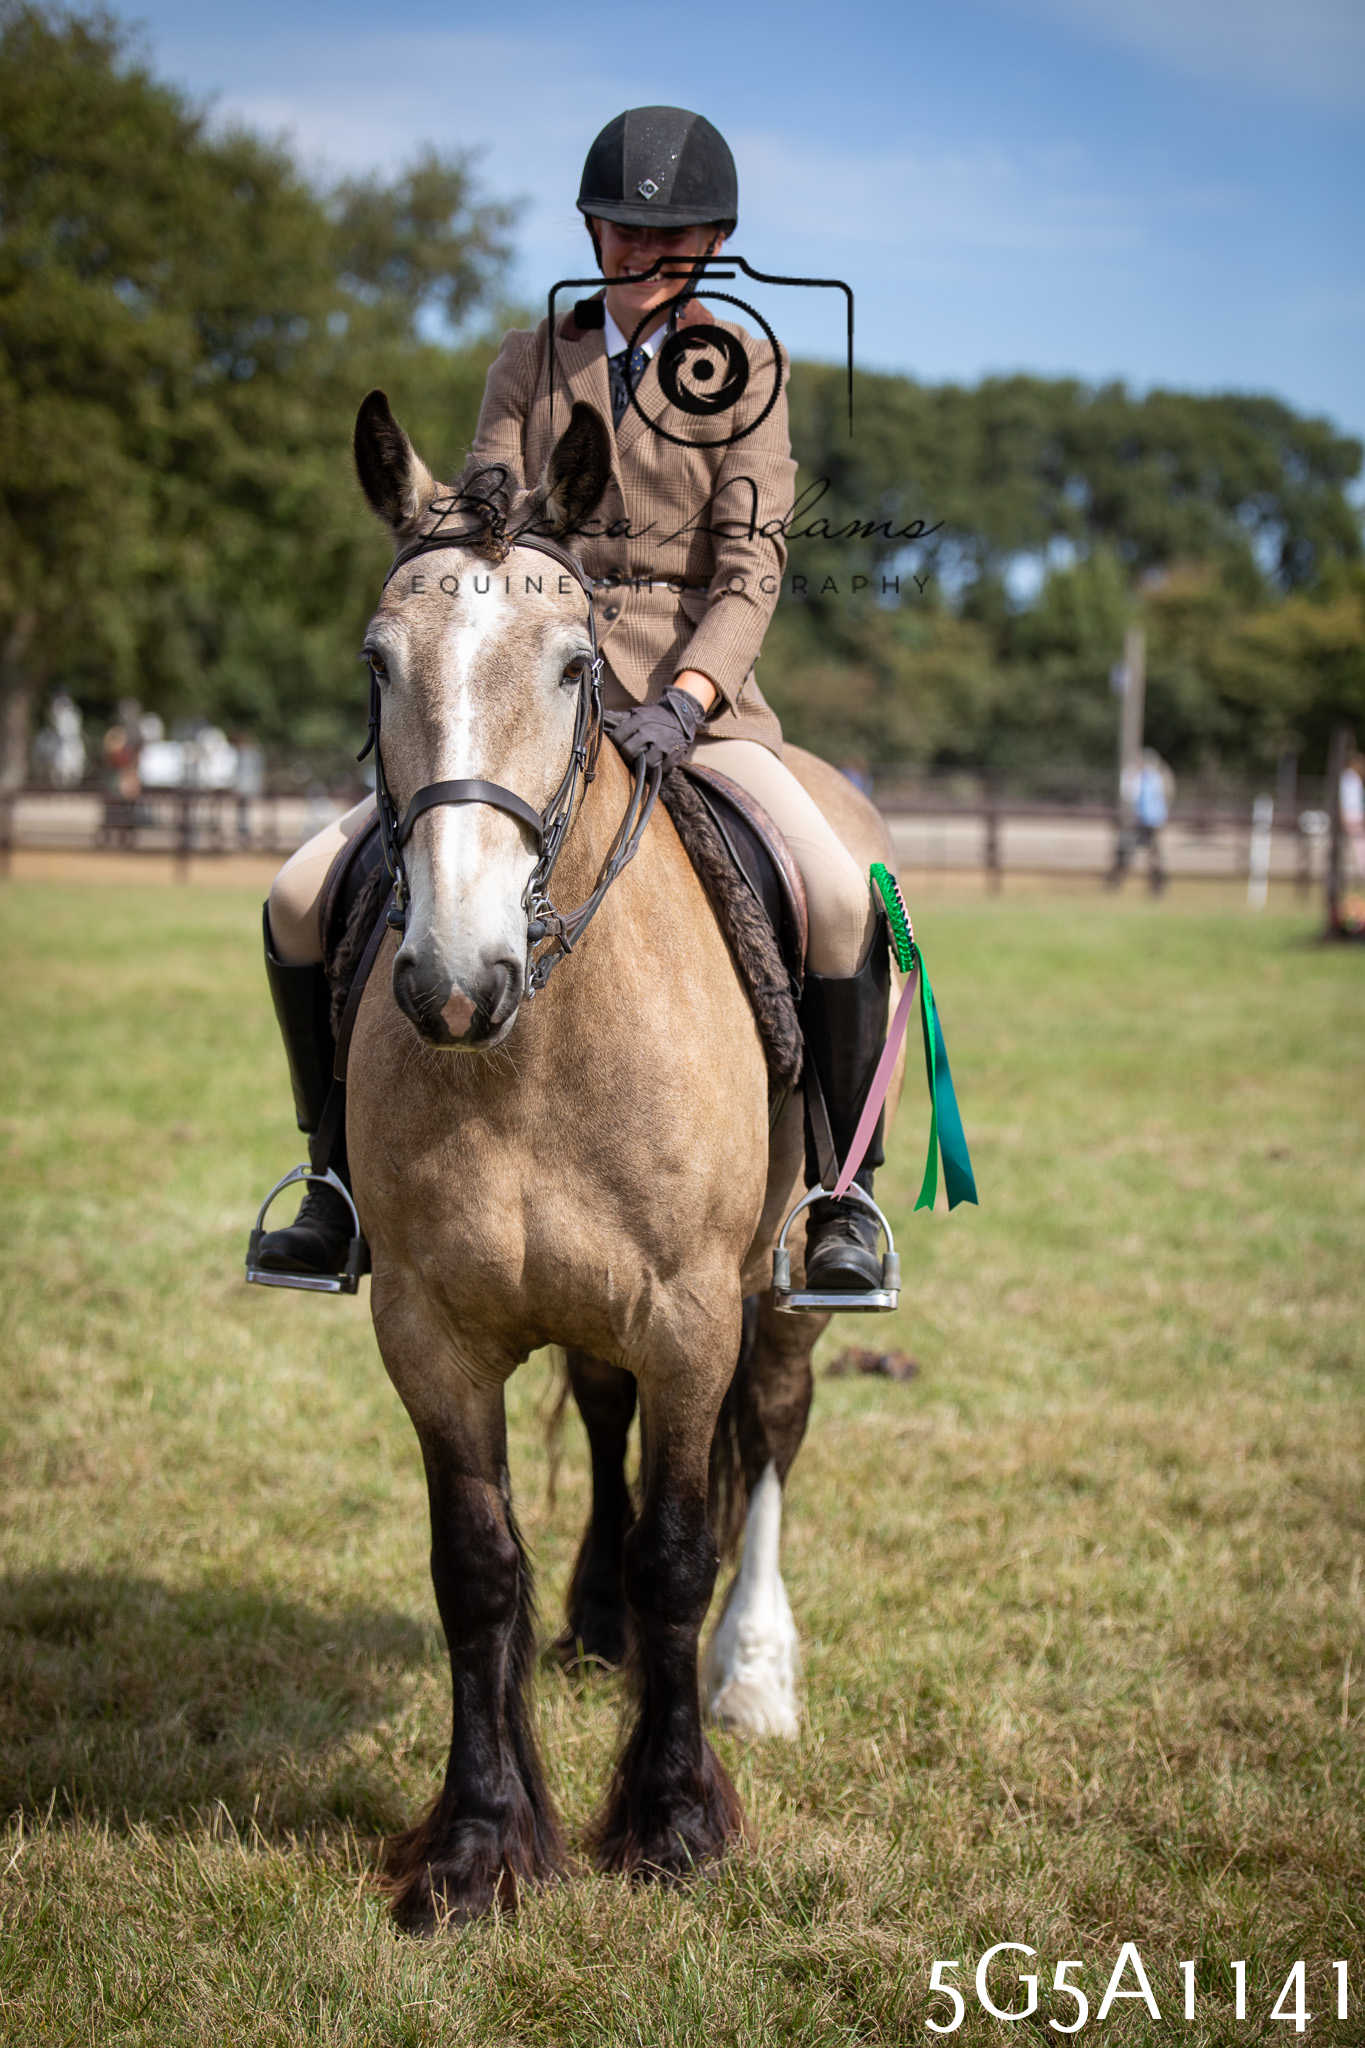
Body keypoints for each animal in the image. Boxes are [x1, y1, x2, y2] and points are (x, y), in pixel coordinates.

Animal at [345, 388, 901, 1929]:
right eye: (378, 662)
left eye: (577, 664)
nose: (453, 979)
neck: (528, 1044)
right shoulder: (427, 1328)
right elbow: (476, 1570)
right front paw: (479, 1843)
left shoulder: (693, 1307)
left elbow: (678, 1543)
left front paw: (671, 1817)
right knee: (605, 1420)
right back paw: (594, 1630)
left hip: (778, 1278)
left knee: (769, 1430)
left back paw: (753, 1674)